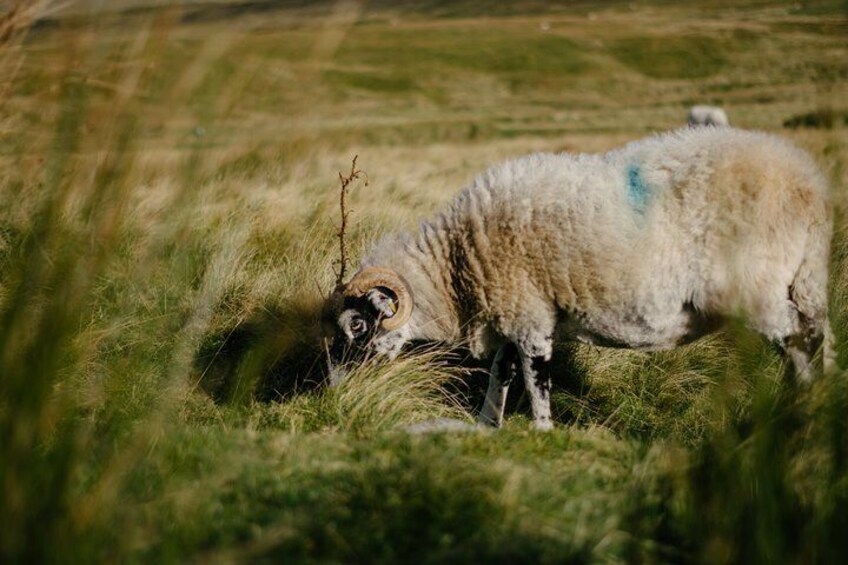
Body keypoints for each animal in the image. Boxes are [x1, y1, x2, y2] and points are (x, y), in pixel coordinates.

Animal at [323, 127, 834, 430]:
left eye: (358, 326)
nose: (335, 393)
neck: (454, 265)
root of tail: (809, 186)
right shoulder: (515, 313)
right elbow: (502, 374)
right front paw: (489, 425)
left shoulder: (529, 317)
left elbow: (535, 379)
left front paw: (542, 432)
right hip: (796, 281)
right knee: (811, 336)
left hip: (755, 286)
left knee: (802, 338)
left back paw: (804, 412)